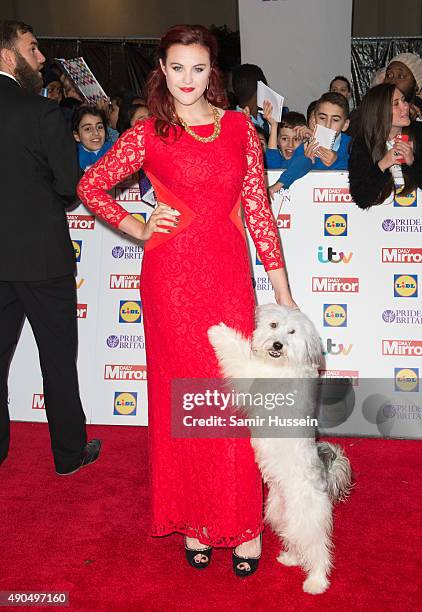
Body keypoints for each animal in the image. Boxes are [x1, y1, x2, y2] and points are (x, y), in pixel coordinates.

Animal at [209, 304, 352, 596]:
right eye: (274, 325)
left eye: (292, 332)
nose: (277, 344)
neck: (281, 365)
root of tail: (324, 478)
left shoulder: (250, 376)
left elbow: (238, 352)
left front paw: (217, 332)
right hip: (279, 513)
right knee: (295, 541)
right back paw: (291, 558)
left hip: (306, 520)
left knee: (318, 551)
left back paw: (316, 582)